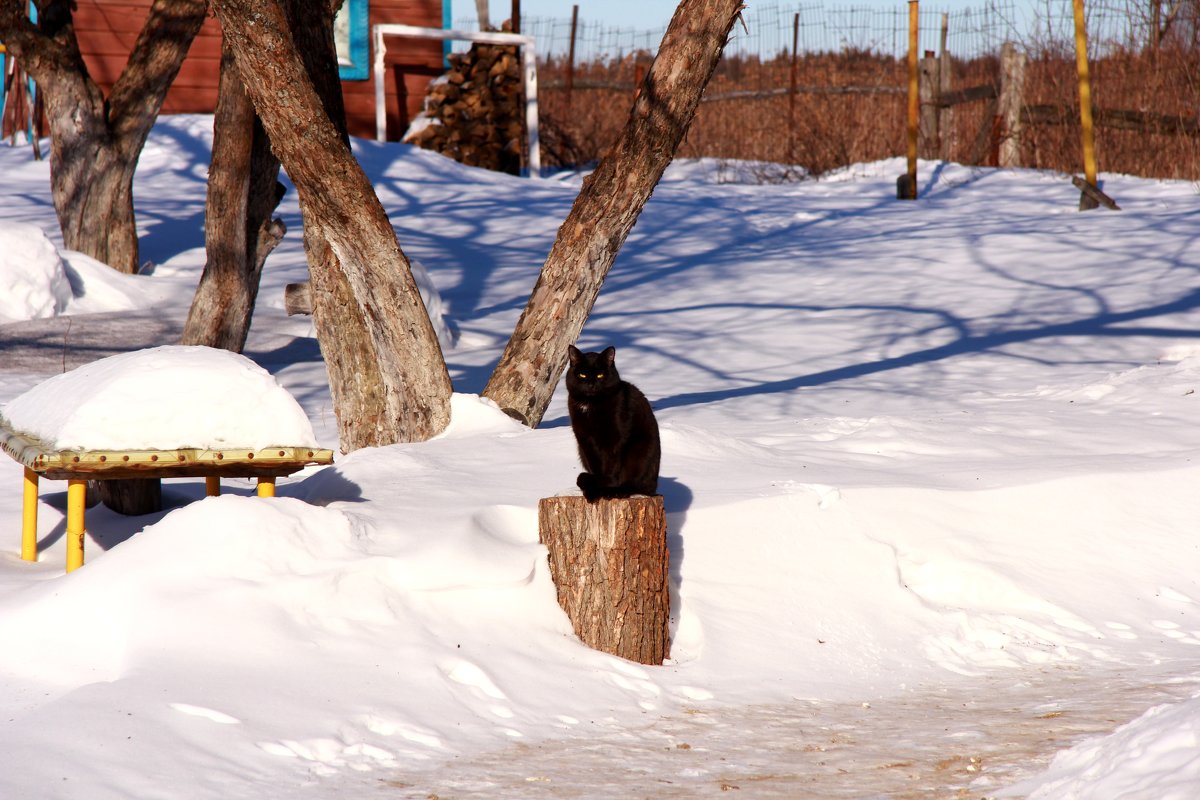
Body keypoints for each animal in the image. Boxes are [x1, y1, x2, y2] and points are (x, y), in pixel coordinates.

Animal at [566, 345, 662, 501]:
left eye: (600, 375)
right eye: (582, 375)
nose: (591, 384)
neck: (591, 404)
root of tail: (654, 488)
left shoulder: (616, 437)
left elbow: (612, 464)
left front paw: (606, 486)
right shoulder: (585, 439)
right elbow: (595, 464)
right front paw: (593, 488)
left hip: (639, 450)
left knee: (633, 484)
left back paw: (617, 491)